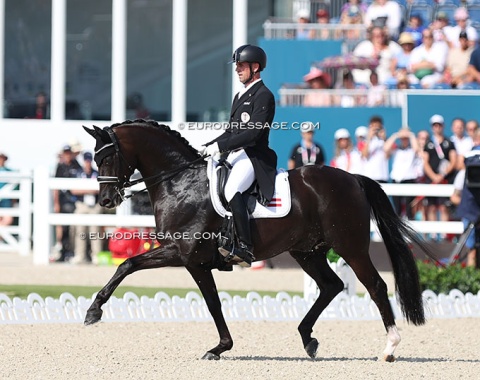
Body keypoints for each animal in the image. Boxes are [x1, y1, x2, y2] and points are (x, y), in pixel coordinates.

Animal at [82, 120, 432, 360]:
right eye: (96, 160)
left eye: (108, 158)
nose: (107, 199)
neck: (180, 181)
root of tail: (353, 179)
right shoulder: (190, 259)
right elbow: (139, 268)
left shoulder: (185, 255)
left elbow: (137, 268)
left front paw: (93, 311)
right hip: (307, 252)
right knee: (331, 285)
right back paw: (307, 338)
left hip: (351, 247)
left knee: (375, 286)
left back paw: (389, 347)